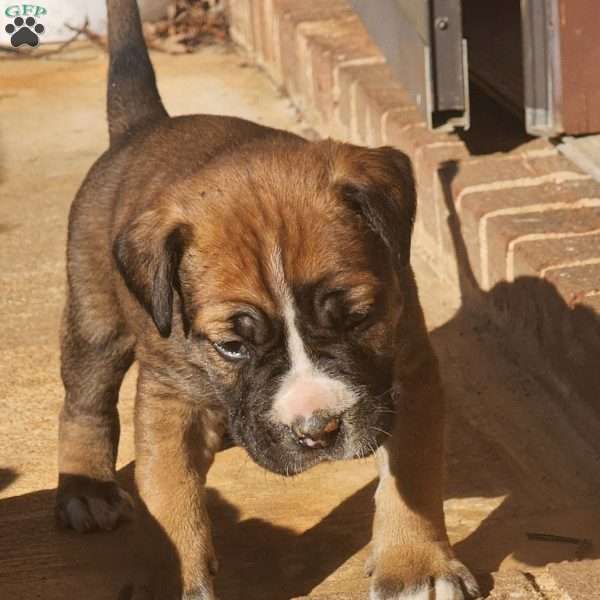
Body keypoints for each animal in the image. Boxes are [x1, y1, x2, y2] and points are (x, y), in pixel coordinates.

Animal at [55, 1, 478, 600]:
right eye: (232, 346)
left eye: (357, 318)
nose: (317, 430)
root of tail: (143, 125)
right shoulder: (168, 398)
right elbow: (168, 495)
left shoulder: (407, 368)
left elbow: (413, 473)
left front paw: (415, 565)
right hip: (95, 318)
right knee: (85, 401)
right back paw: (86, 490)